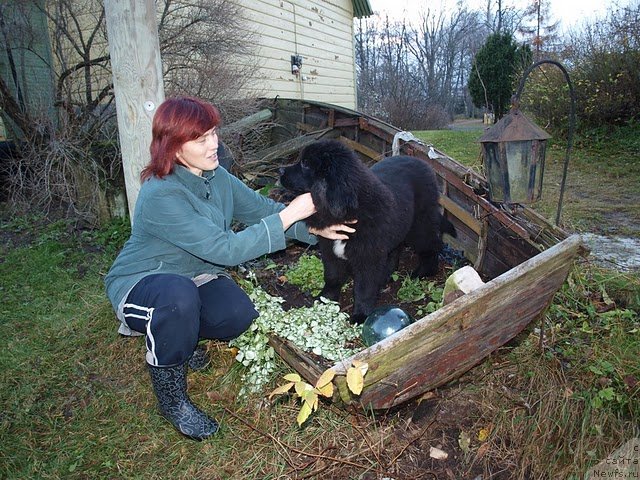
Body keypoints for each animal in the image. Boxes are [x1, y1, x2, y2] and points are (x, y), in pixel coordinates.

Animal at [280, 141, 456, 324]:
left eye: (306, 164)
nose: (280, 171)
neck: (350, 211)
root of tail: (422, 162)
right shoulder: (330, 249)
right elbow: (332, 276)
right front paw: (325, 299)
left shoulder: (368, 257)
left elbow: (364, 289)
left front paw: (360, 315)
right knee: (395, 250)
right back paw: (386, 275)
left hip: (419, 225)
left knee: (432, 245)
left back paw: (424, 271)